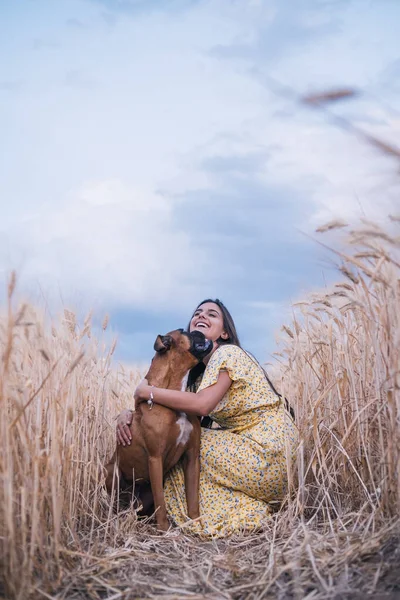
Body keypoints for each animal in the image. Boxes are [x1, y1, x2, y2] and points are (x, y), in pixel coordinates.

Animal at [104, 330, 214, 532]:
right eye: (184, 331)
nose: (199, 330)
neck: (174, 393)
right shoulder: (155, 458)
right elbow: (161, 502)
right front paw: (164, 529)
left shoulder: (192, 457)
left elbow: (193, 499)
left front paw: (196, 524)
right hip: (110, 471)